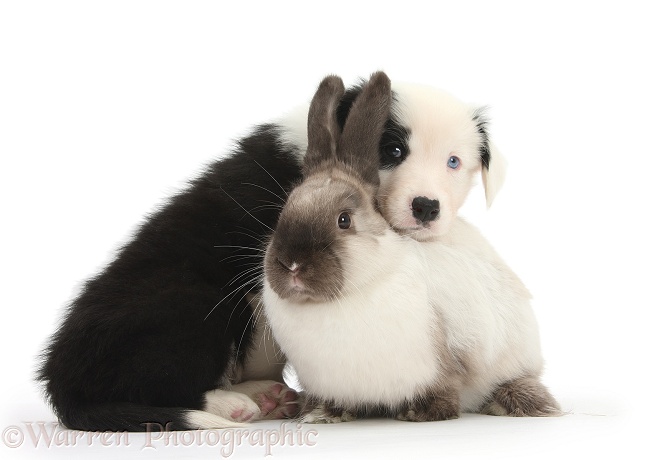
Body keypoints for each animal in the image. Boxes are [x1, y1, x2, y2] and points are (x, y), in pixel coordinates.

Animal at [37, 74, 506, 432]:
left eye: (453, 162)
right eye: (392, 150)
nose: (426, 207)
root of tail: (61, 383)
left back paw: (269, 396)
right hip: (192, 300)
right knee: (162, 387)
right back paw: (235, 404)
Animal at [260, 73, 560, 424]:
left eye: (344, 220)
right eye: (284, 211)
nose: (292, 264)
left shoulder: (447, 359)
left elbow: (448, 385)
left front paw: (424, 411)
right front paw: (322, 412)